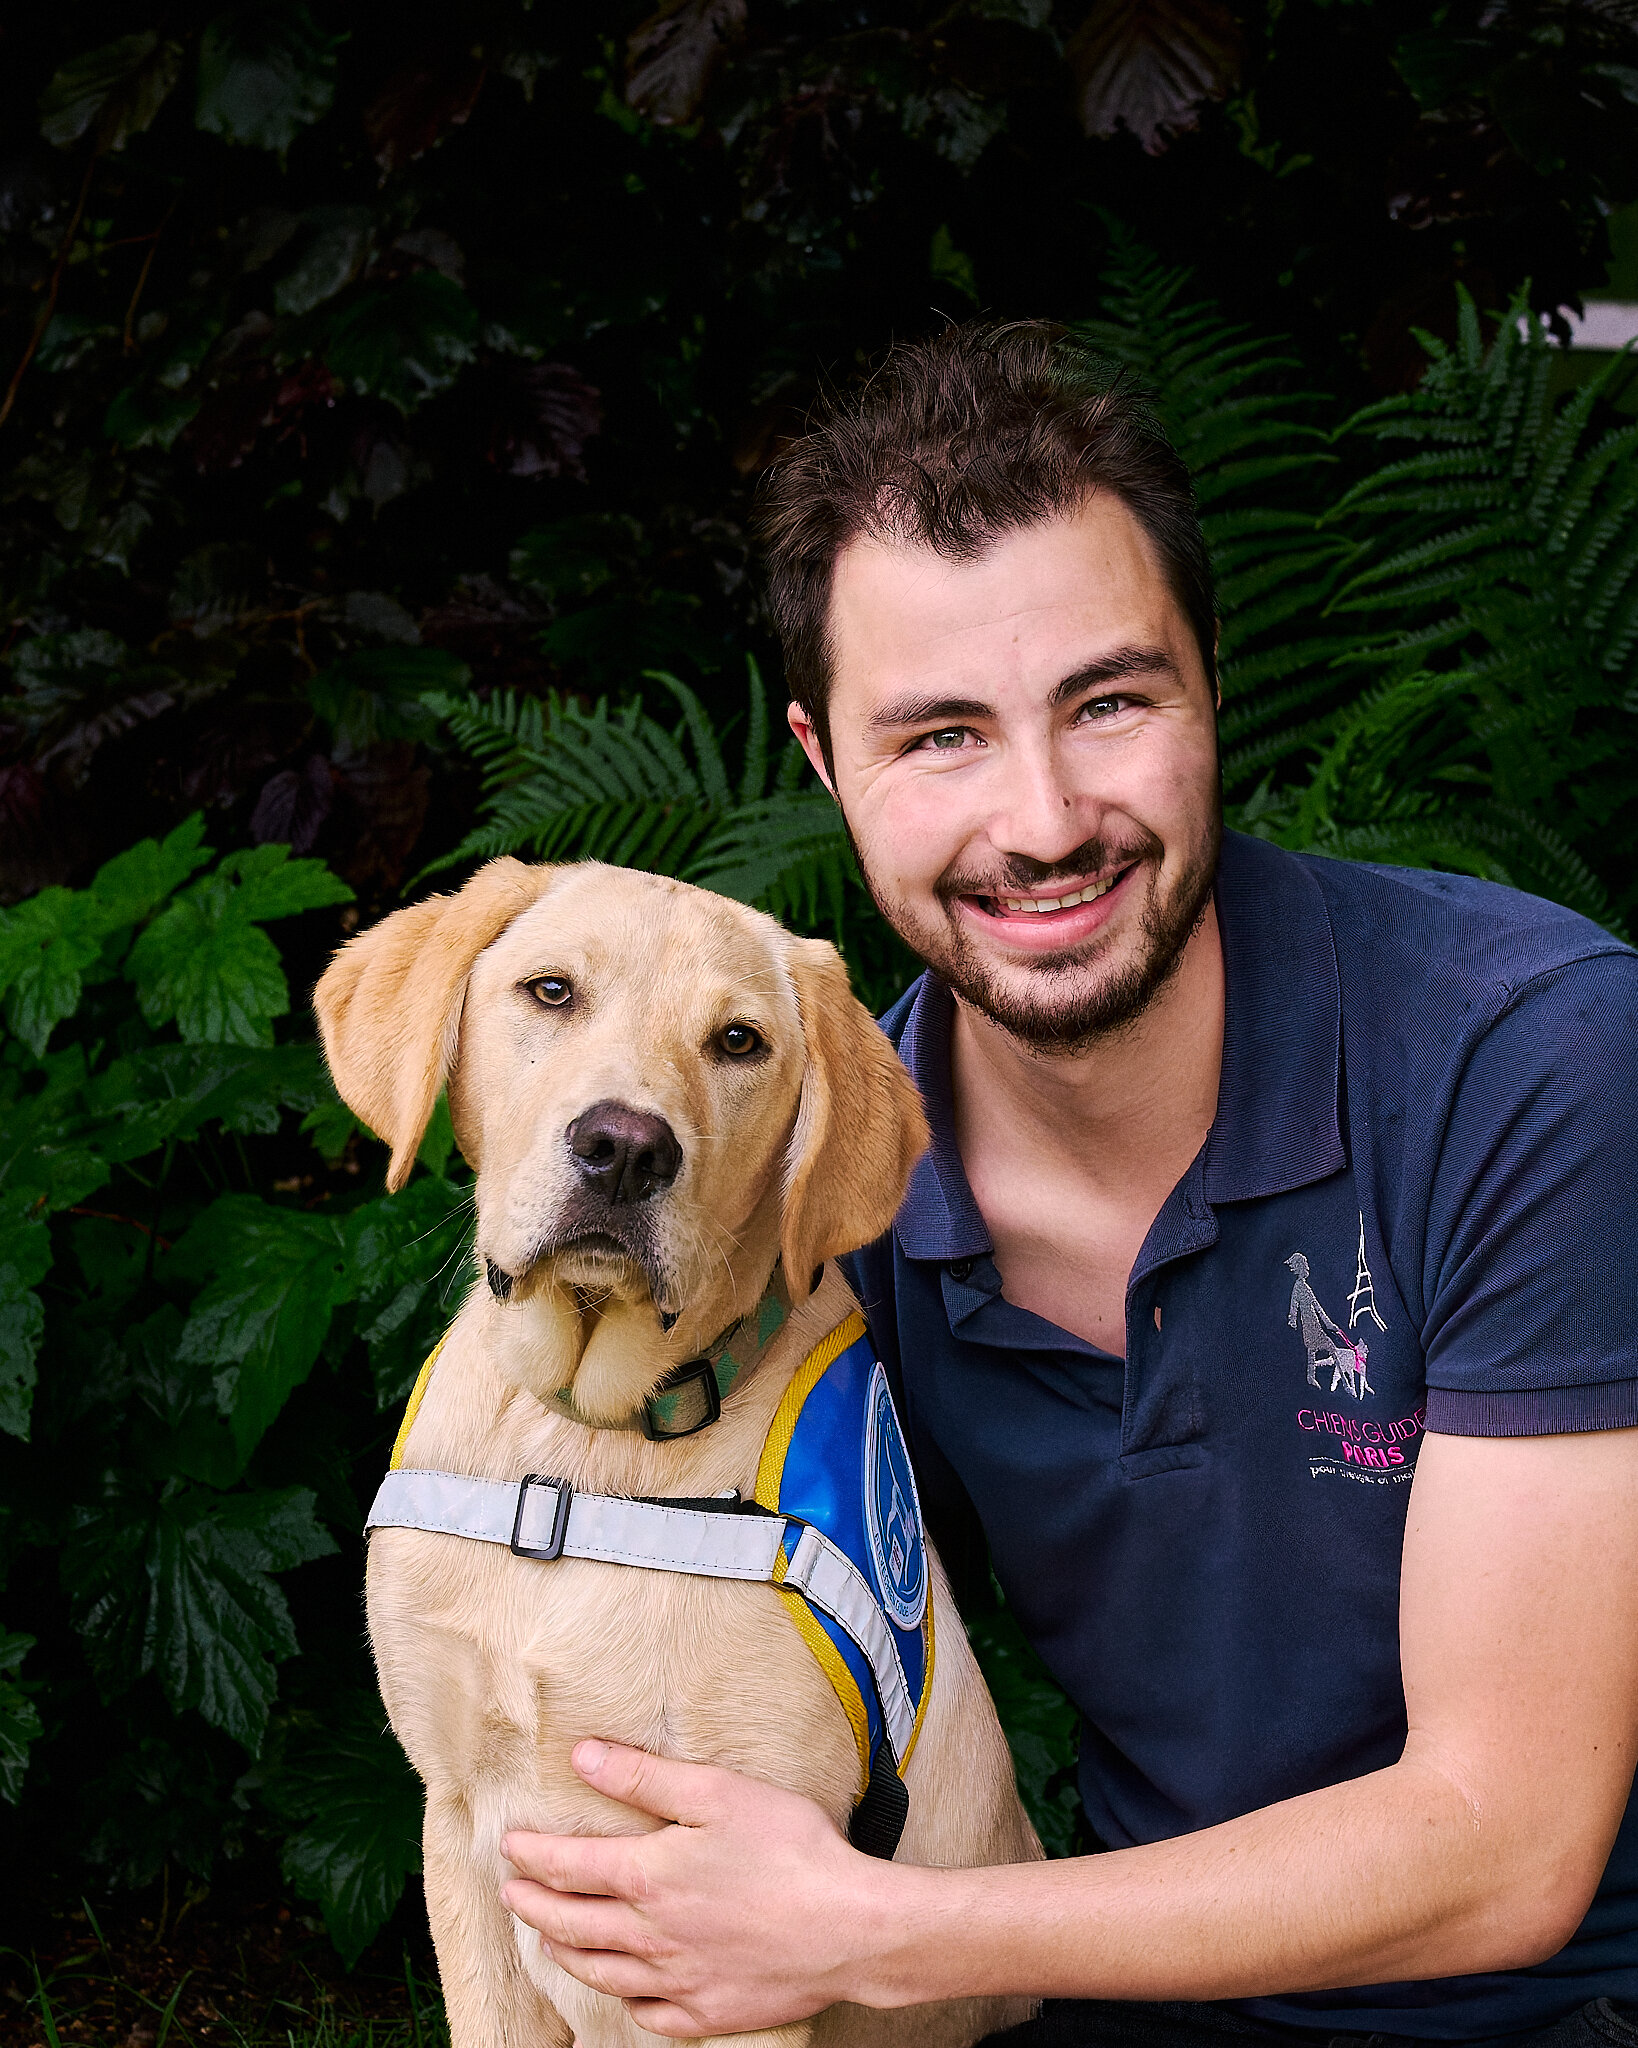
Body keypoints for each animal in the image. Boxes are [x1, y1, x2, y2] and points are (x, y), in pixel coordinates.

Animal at [313, 856, 1044, 2048]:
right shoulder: (457, 1832)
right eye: (550, 991)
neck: (578, 1448)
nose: (624, 1147)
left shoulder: (741, 1927)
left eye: (738, 1041)